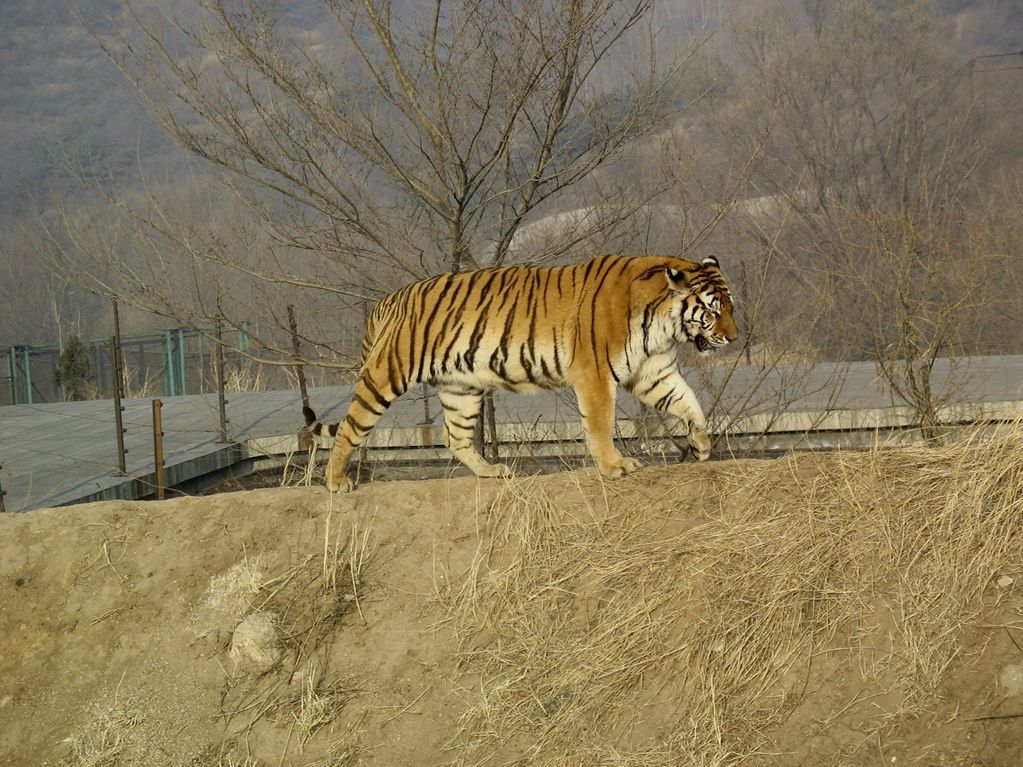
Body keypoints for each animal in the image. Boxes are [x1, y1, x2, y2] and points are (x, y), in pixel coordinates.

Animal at [302, 252, 736, 492]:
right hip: (387, 373)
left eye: (730, 307)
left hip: (461, 388)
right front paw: (616, 467)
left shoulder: (653, 372)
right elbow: (600, 425)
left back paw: (492, 472)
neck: (662, 325)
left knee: (456, 438)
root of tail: (389, 299)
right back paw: (336, 482)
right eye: (713, 310)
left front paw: (702, 446)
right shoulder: (594, 373)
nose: (733, 337)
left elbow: (689, 403)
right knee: (349, 427)